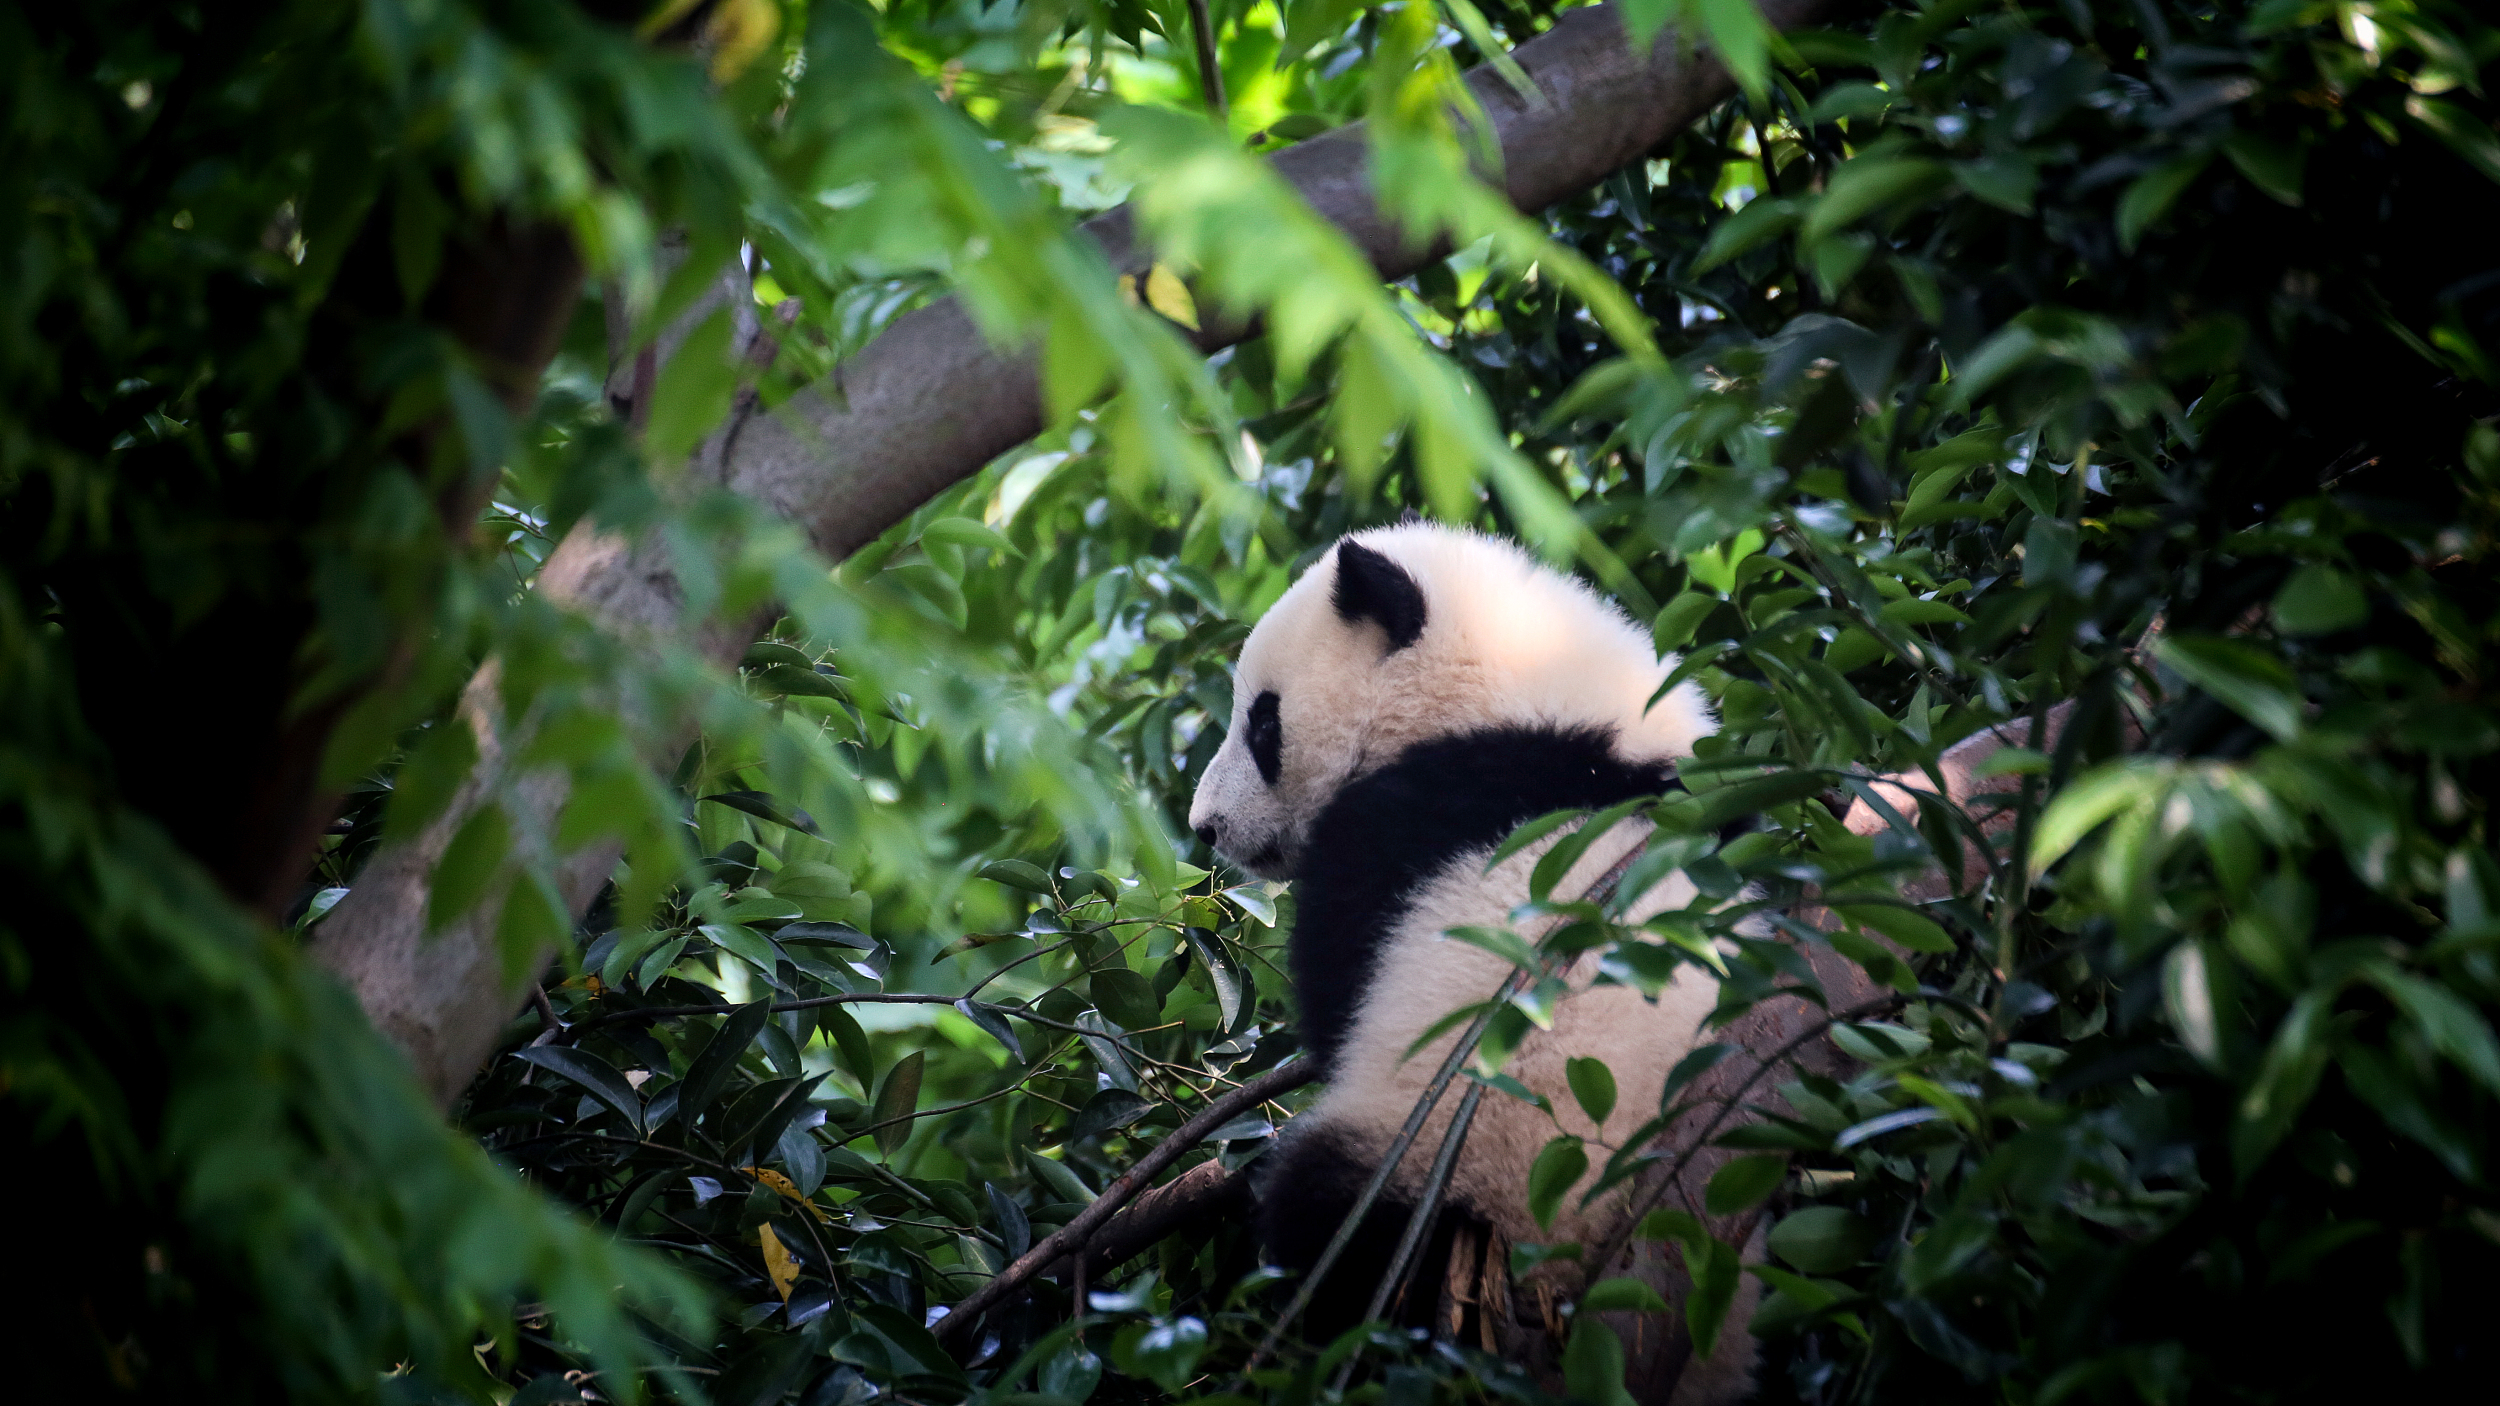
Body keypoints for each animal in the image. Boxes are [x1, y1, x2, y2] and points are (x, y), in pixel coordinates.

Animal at [1187, 521, 1756, 1398]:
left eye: (1263, 725)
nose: (1205, 826)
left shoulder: (1402, 821)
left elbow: (1339, 991)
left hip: (1452, 1160)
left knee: (1331, 1223)